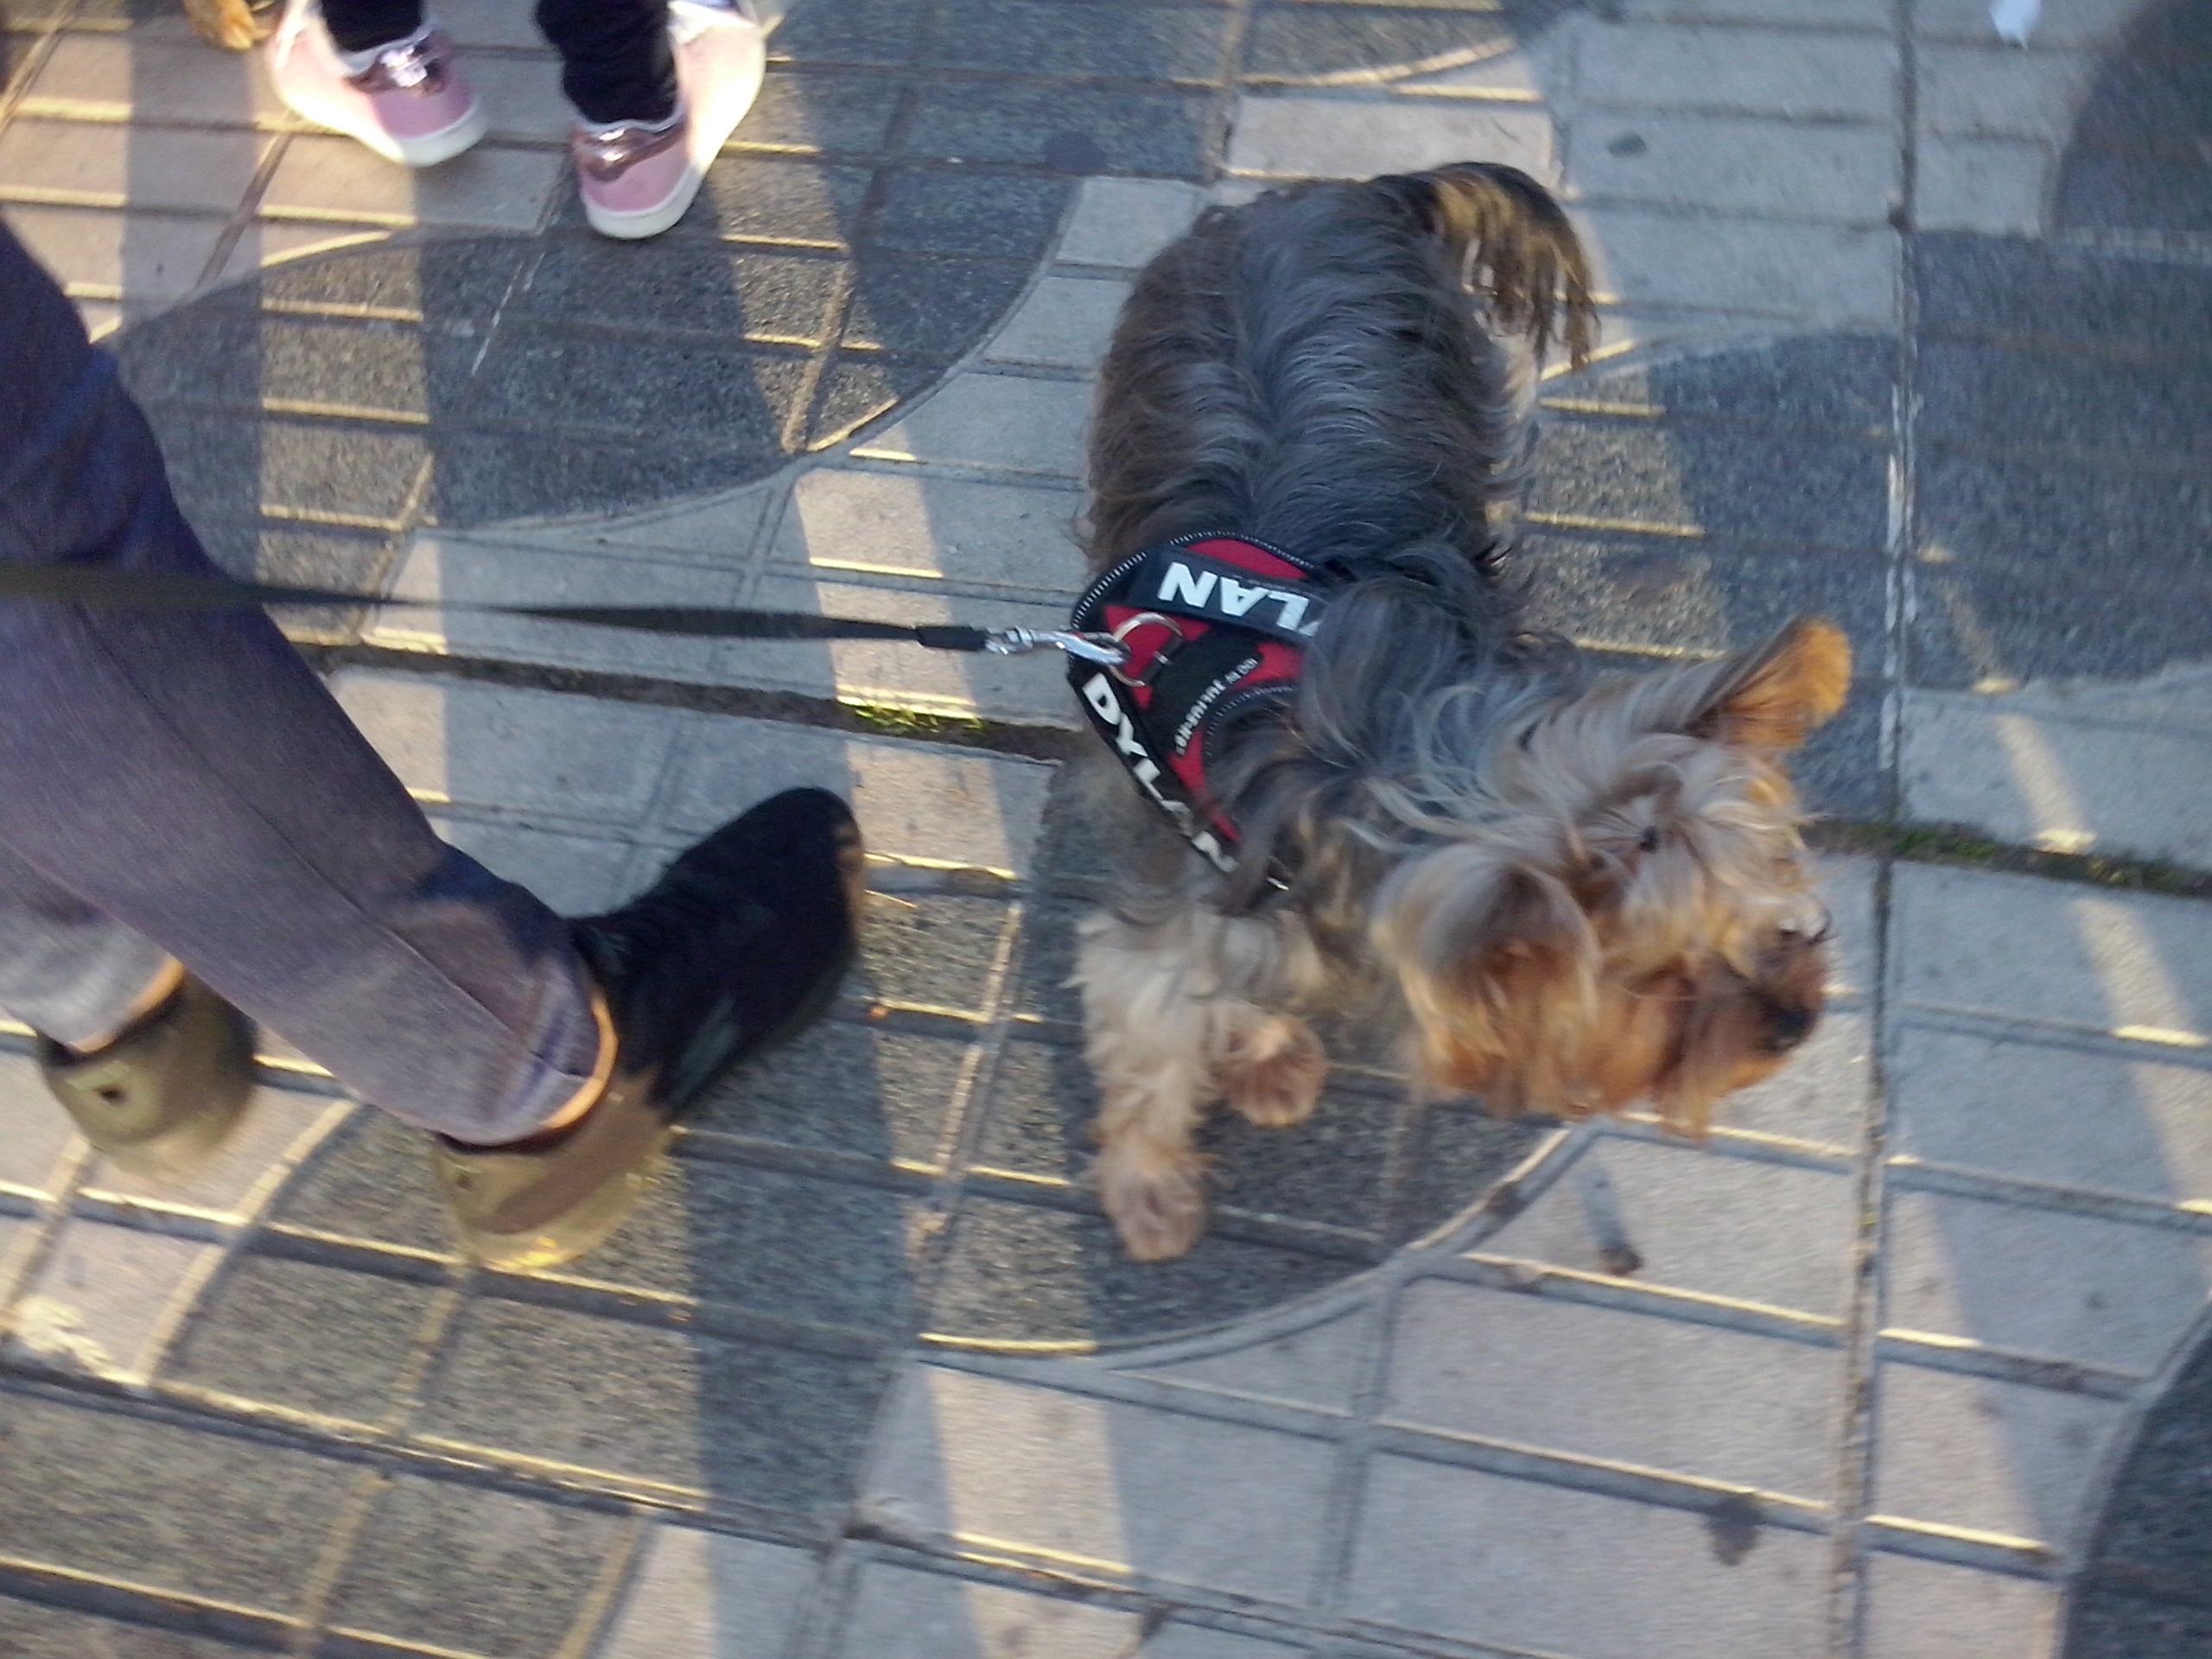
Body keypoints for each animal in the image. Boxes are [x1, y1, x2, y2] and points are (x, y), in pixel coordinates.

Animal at [1070, 163, 1851, 1262]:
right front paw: (1154, 1178)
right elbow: (1155, 1007)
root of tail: (1339, 192)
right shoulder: (1194, 870)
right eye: (1660, 979)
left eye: (1758, 909)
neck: (1380, 744)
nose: (1794, 1020)